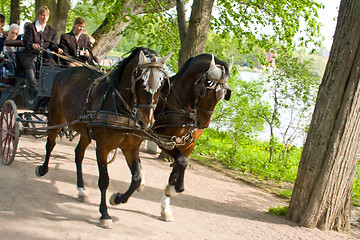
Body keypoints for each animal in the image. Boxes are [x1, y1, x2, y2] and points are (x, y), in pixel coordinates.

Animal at [34, 47, 172, 229]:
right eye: (141, 82)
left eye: (161, 85)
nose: (146, 122)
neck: (121, 108)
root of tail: (65, 72)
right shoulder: (103, 147)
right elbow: (104, 180)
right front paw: (105, 214)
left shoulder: (130, 148)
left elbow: (136, 178)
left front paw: (118, 199)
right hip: (56, 117)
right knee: (50, 143)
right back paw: (43, 169)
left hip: (85, 131)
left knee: (78, 154)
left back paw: (81, 190)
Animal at [109, 53, 232, 221]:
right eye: (206, 89)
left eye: (222, 94)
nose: (203, 123)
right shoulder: (164, 141)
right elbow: (182, 162)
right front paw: (175, 188)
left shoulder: (188, 146)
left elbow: (179, 166)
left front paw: (167, 202)